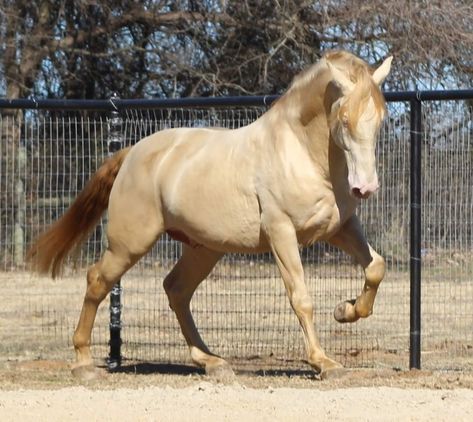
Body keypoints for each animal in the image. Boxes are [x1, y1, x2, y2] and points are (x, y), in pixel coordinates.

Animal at [27, 49, 392, 380]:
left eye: (380, 118)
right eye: (344, 119)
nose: (365, 187)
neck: (300, 153)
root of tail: (132, 153)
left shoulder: (340, 228)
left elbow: (376, 266)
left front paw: (346, 310)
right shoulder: (282, 232)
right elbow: (301, 297)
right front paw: (324, 363)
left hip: (204, 248)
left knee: (176, 290)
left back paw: (212, 362)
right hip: (130, 244)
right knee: (98, 281)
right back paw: (83, 364)